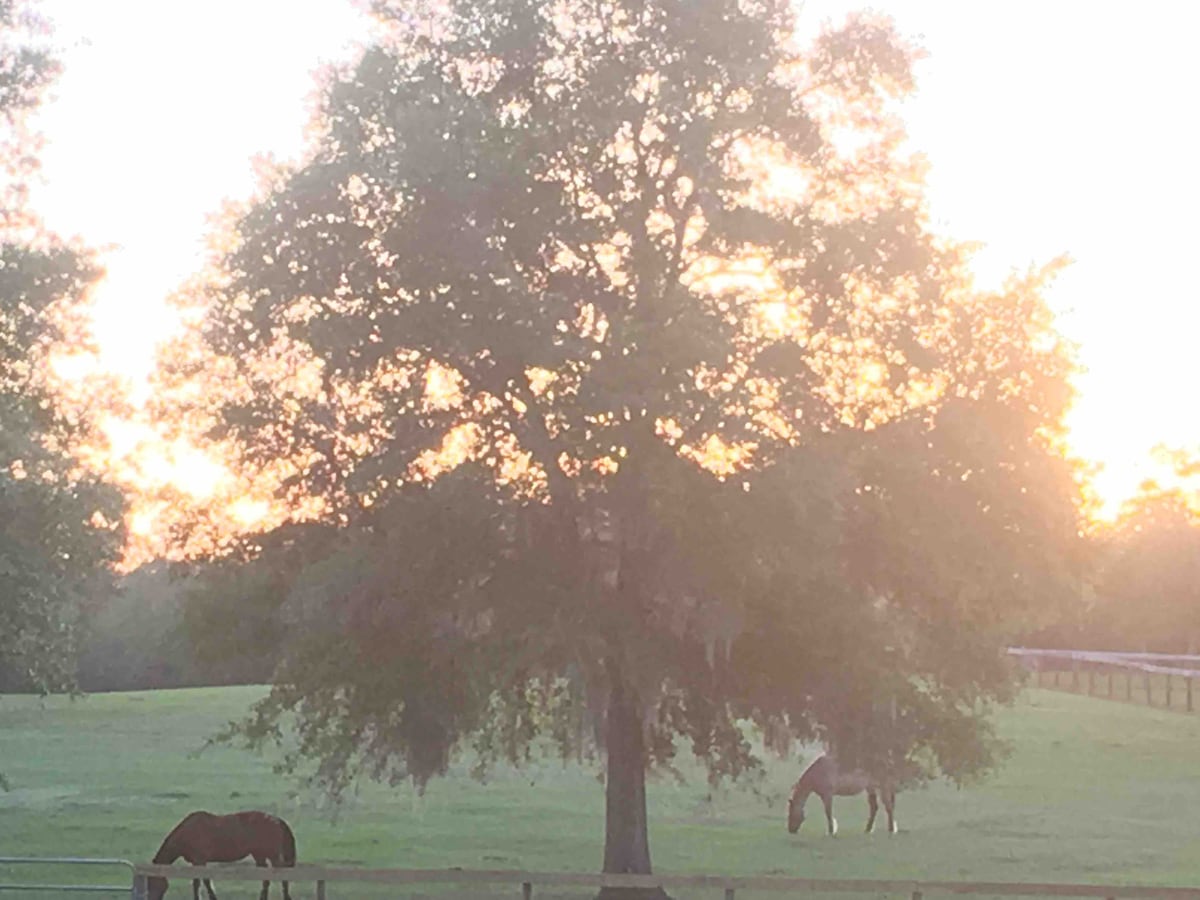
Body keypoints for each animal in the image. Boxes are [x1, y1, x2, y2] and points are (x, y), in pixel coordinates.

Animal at [146, 811, 296, 900]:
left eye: (153, 882)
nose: (152, 899)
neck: (188, 832)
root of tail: (277, 820)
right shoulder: (198, 863)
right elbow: (200, 882)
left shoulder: (200, 861)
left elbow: (201, 882)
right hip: (259, 855)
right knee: (265, 877)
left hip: (272, 855)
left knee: (282, 875)